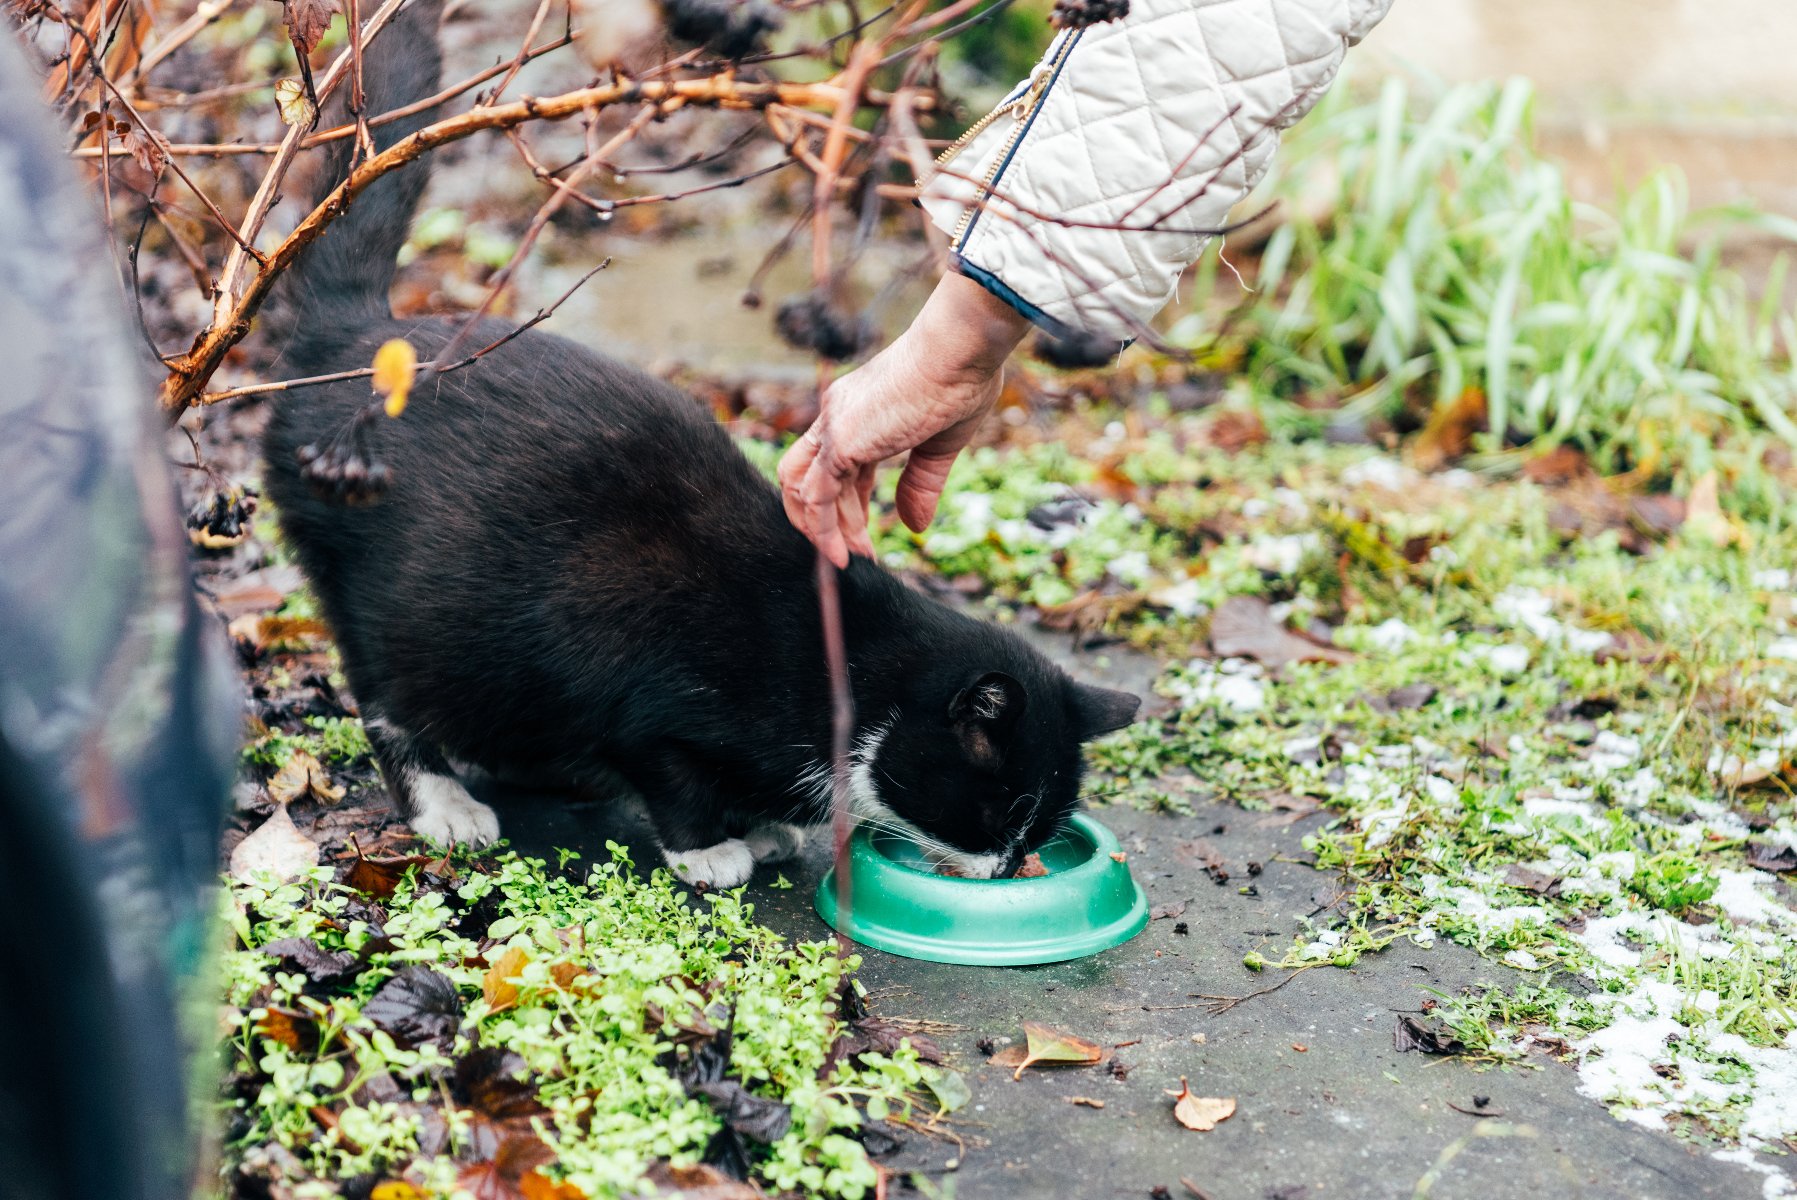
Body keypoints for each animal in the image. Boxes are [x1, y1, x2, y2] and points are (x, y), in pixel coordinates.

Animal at [262, 0, 1135, 880]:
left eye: (1037, 829)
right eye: (993, 811)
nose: (1008, 870)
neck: (853, 669)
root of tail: (358, 333)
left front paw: (766, 824)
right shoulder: (640, 686)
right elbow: (669, 771)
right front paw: (711, 848)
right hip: (385, 596)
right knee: (386, 695)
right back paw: (444, 800)